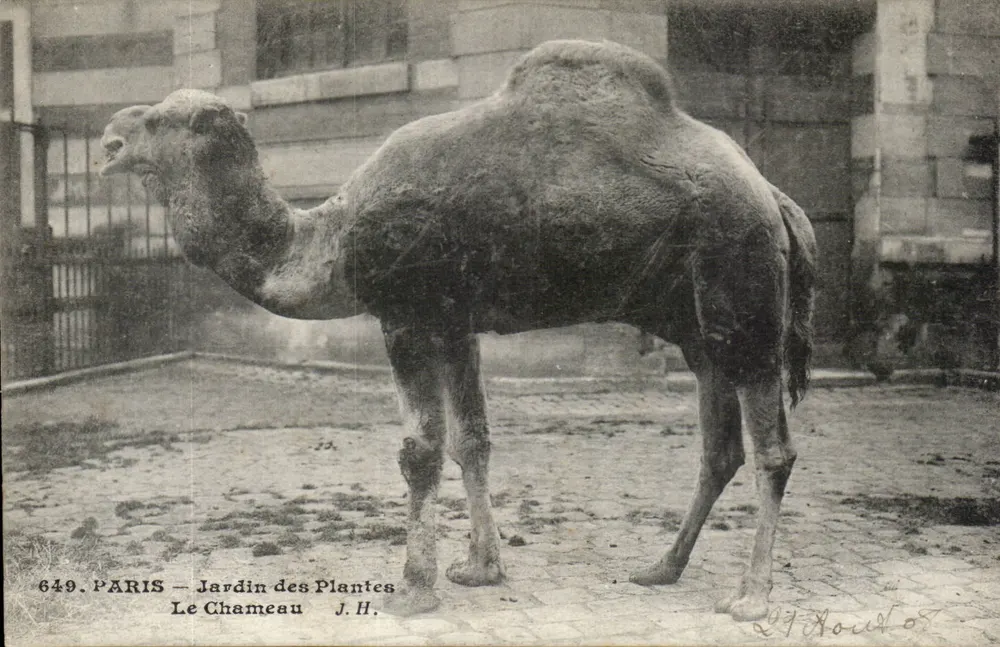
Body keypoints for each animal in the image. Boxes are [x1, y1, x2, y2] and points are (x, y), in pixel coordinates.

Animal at [100, 40, 816, 621]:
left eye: (159, 119)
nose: (108, 138)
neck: (329, 240)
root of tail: (776, 199)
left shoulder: (407, 316)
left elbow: (419, 452)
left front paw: (412, 590)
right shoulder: (455, 325)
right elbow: (472, 441)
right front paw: (479, 569)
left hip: (743, 292)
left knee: (772, 450)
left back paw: (751, 598)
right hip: (701, 329)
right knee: (719, 449)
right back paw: (662, 568)